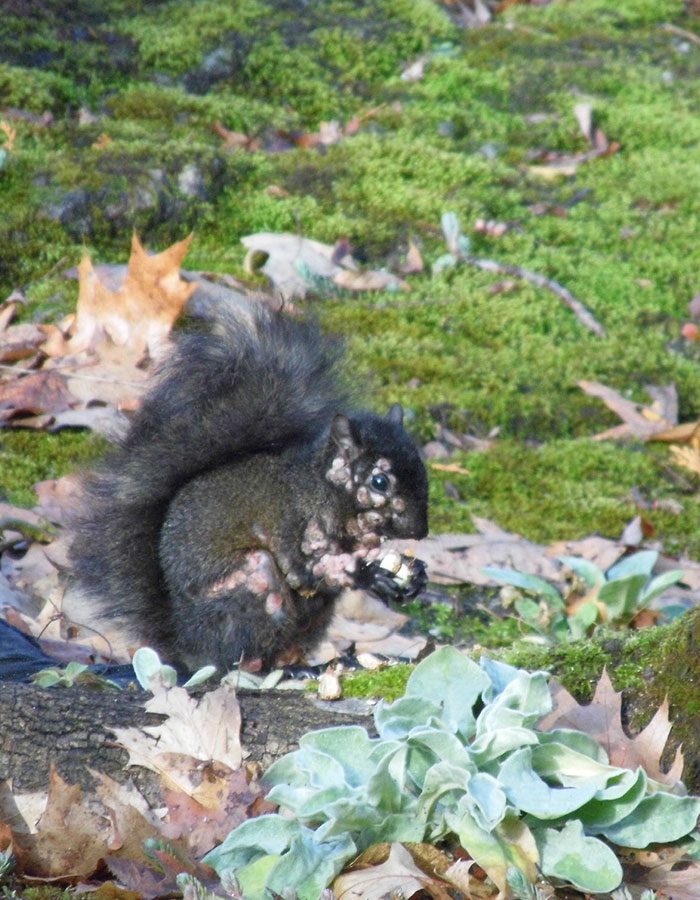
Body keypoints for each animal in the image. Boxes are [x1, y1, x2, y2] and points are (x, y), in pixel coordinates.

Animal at [67, 296, 429, 673]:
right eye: (379, 481)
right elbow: (309, 573)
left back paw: (306, 664)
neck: (323, 492)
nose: (420, 531)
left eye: (422, 468)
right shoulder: (292, 523)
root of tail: (187, 646)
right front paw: (369, 575)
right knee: (242, 656)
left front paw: (414, 574)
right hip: (254, 582)